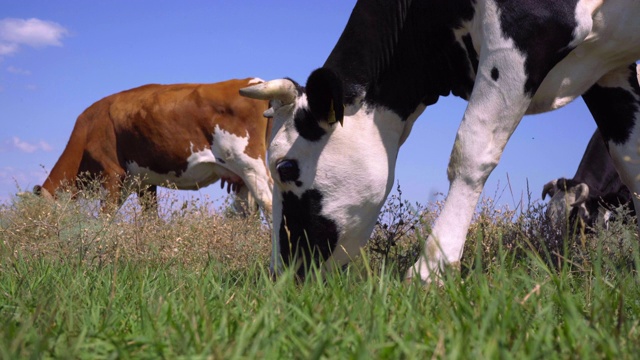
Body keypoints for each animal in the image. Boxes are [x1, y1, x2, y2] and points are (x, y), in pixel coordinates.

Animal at [33, 78, 272, 217]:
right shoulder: (142, 181)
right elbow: (150, 218)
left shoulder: (112, 173)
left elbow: (106, 218)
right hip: (243, 176)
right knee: (248, 212)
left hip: (250, 164)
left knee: (269, 202)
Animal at [240, 0, 640, 282]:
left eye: (285, 167)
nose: (279, 275)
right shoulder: (609, 68)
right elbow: (631, 160)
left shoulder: (526, 28)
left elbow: (471, 151)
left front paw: (429, 271)